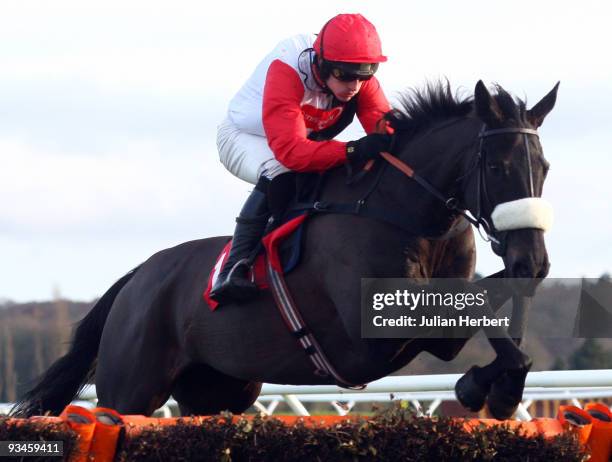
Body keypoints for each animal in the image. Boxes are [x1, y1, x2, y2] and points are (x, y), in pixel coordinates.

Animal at [13, 81, 560, 420]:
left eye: (545, 166)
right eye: (498, 167)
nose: (534, 260)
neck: (401, 212)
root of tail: (137, 278)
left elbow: (493, 308)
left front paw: (494, 388)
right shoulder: (375, 332)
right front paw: (486, 389)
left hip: (218, 391)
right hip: (130, 389)